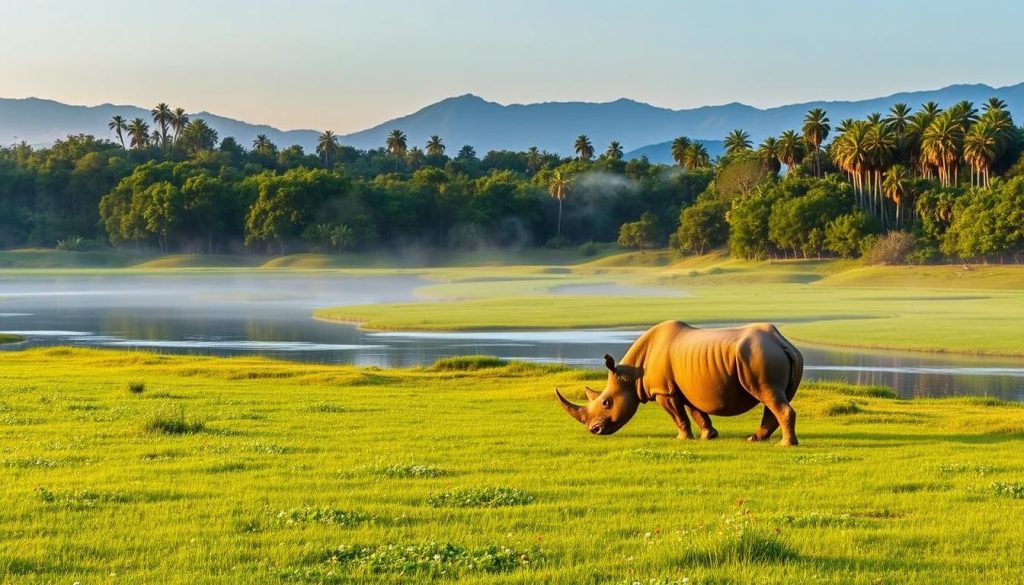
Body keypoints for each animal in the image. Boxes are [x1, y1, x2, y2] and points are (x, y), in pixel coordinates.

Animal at [556, 321, 804, 445]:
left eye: (606, 403)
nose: (594, 430)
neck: (632, 374)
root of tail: (782, 342)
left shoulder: (663, 392)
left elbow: (678, 416)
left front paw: (682, 438)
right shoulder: (686, 387)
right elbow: (697, 412)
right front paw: (708, 436)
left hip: (760, 357)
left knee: (769, 396)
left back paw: (784, 445)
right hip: (775, 356)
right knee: (774, 398)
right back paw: (754, 439)